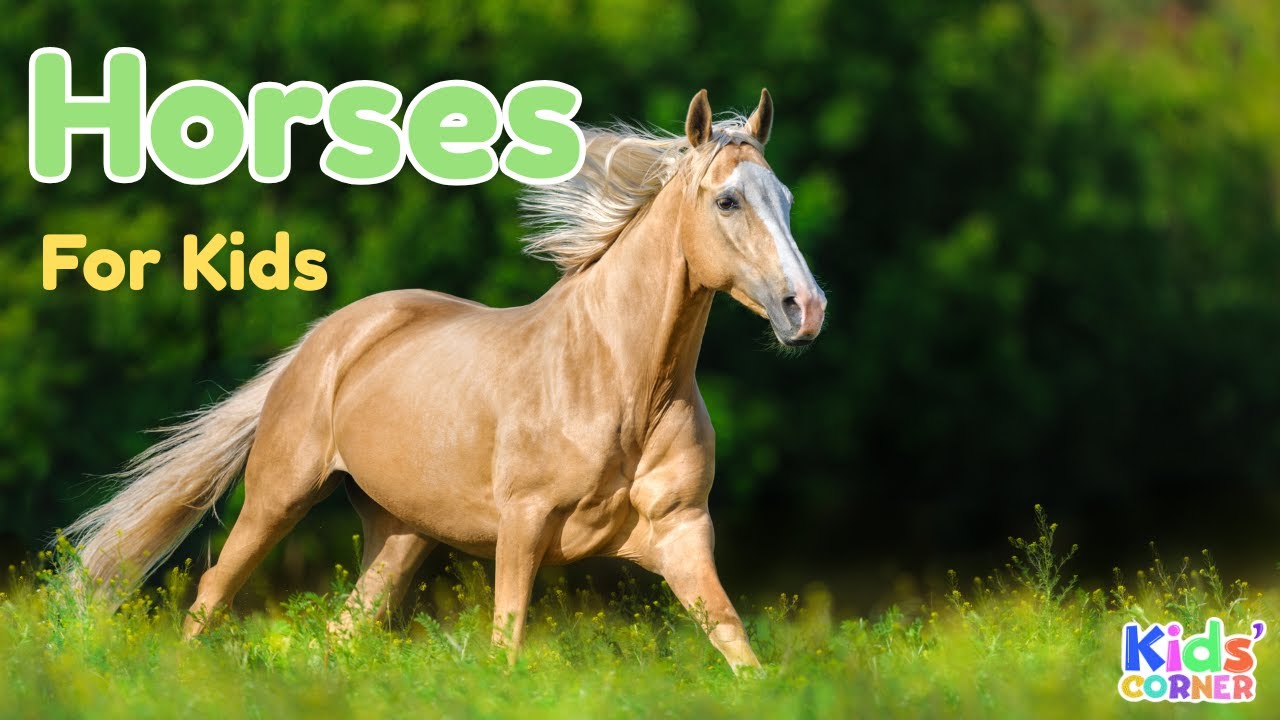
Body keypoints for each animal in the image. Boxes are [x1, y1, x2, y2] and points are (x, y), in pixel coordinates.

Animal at [65, 88, 826, 671]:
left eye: (786, 198)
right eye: (727, 201)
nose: (806, 309)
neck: (622, 386)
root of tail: (327, 337)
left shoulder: (682, 532)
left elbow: (738, 647)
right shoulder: (523, 525)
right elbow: (505, 646)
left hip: (401, 533)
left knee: (342, 629)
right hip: (278, 497)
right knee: (212, 595)